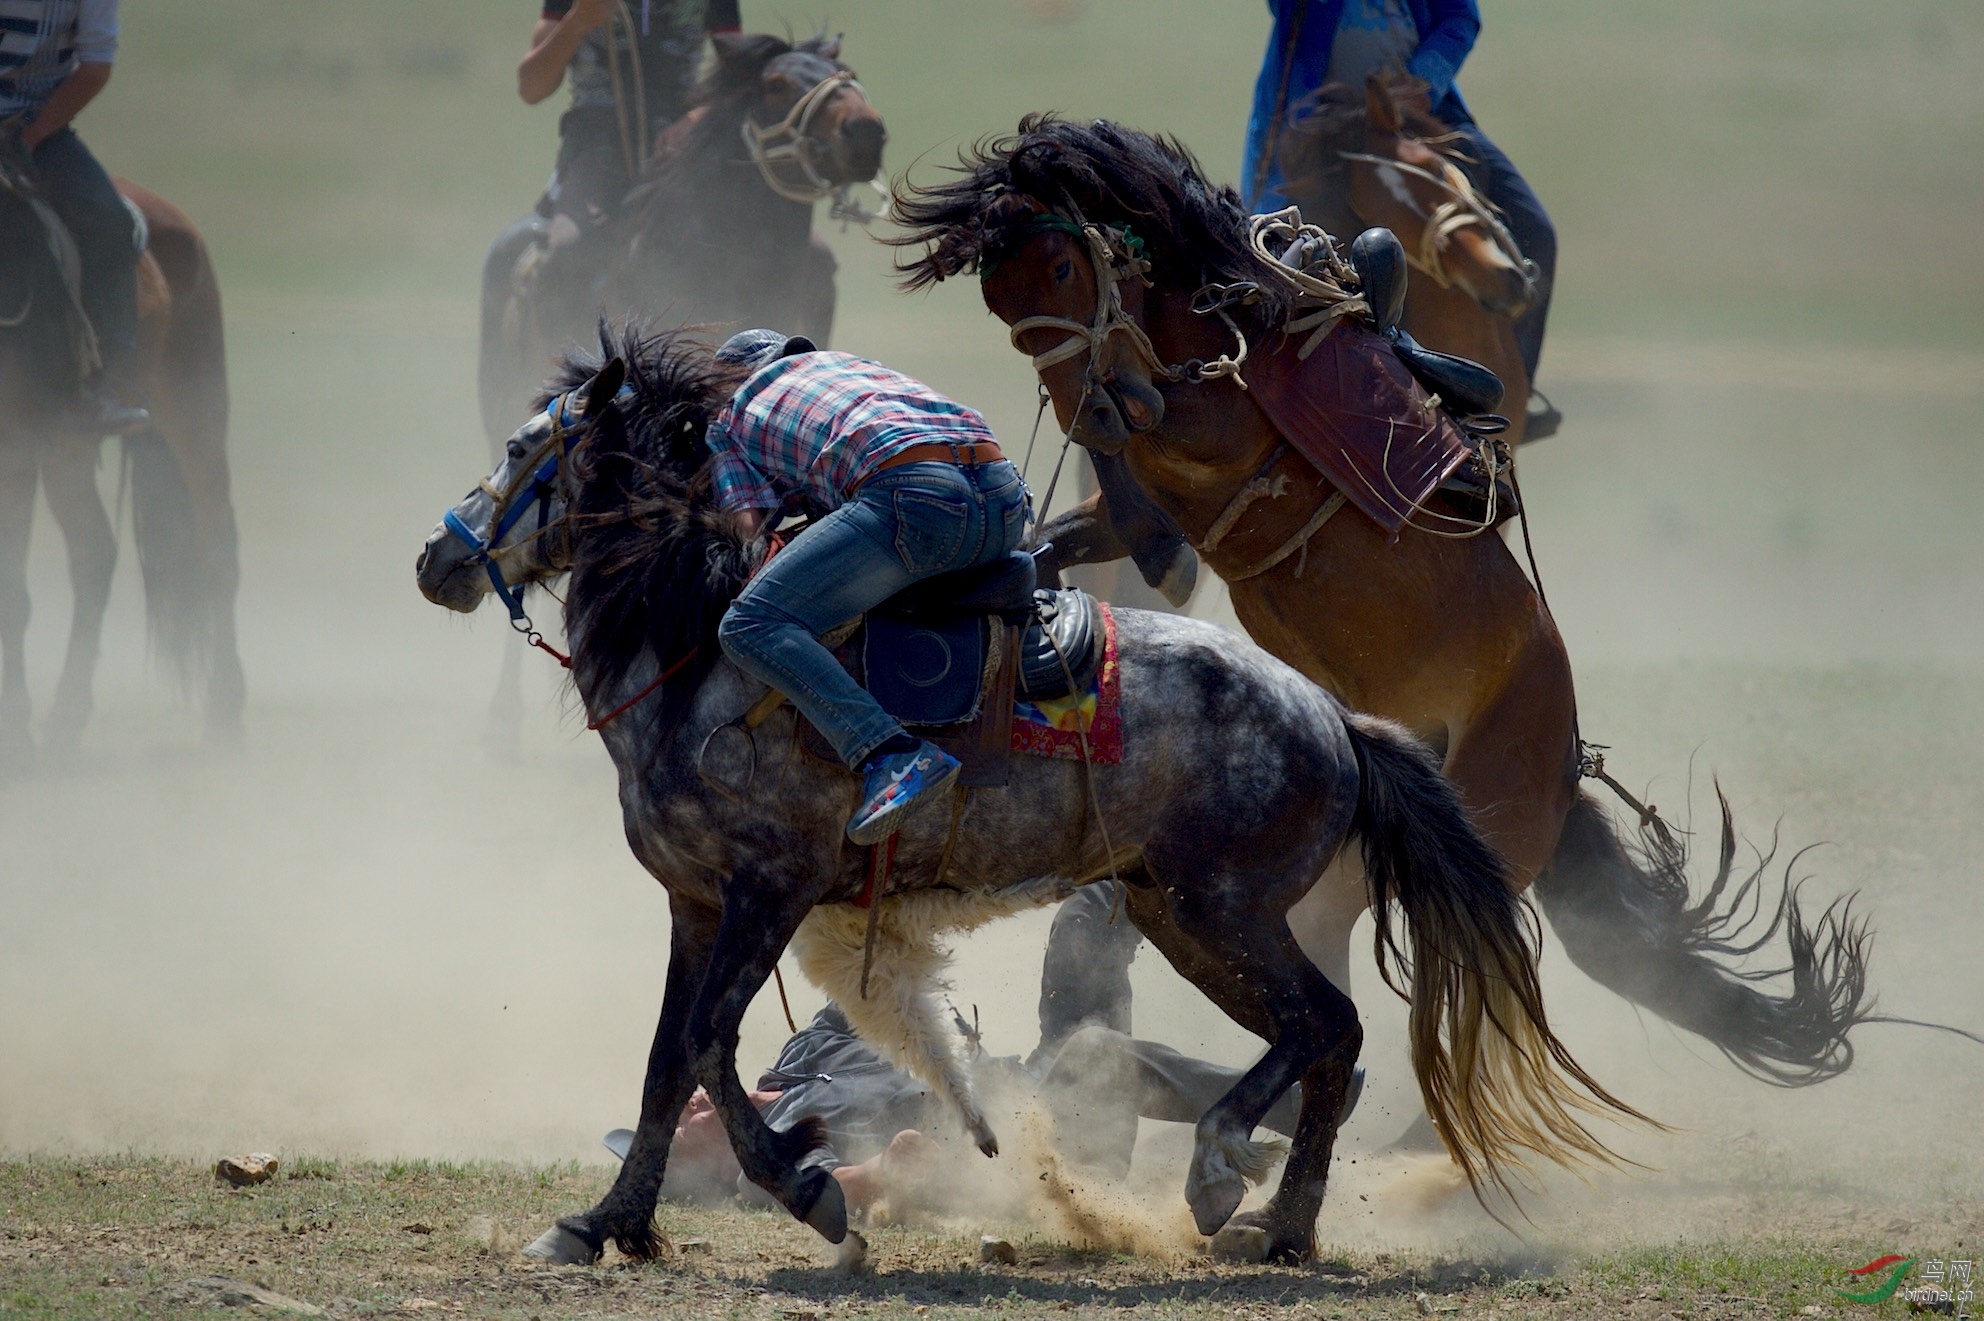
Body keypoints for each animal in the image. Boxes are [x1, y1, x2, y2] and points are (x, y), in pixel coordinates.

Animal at [0, 158, 246, 765]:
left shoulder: (18, 449)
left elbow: (12, 595)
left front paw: (15, 732)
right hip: (68, 451)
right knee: (94, 551)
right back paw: (66, 718)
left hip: (195, 416)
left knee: (217, 550)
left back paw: (224, 712)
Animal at [414, 323, 1642, 1261]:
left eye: (525, 443)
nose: (438, 557)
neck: (697, 652)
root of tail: (1335, 717)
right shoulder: (697, 901)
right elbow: (668, 1061)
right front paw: (602, 1224)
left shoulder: (770, 888)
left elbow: (713, 1044)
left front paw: (812, 1195)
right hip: (1178, 912)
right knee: (1324, 1042)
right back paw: (1275, 1223)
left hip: (1221, 911)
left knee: (1325, 1028)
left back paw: (1227, 1181)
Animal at [892, 113, 1880, 1102]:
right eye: (1000, 302)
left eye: (1063, 268)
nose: (1089, 407)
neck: (1231, 315)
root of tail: (1563, 763)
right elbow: (1080, 522)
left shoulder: (1213, 435)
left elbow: (1151, 445)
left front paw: (1146, 547)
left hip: (1399, 864)